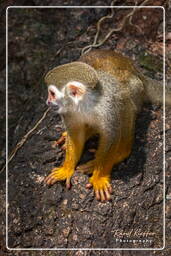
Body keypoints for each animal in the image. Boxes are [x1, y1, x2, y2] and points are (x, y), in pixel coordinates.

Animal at [43, 50, 171, 202]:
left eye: (52, 93)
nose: (47, 102)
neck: (85, 105)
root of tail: (138, 72)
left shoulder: (107, 107)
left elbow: (111, 136)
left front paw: (99, 177)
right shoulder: (67, 111)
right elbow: (75, 135)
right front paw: (66, 170)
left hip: (137, 90)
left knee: (125, 104)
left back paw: (117, 155)